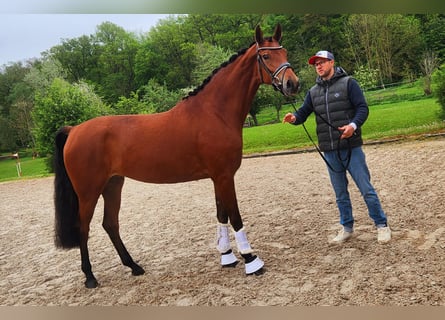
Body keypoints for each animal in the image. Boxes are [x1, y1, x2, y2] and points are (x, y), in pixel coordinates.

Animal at [54, 23, 298, 288]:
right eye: (266, 56)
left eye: (284, 52)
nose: (292, 84)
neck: (214, 111)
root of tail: (74, 130)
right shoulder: (224, 176)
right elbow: (235, 217)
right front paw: (251, 260)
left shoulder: (218, 177)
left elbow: (221, 215)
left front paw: (227, 257)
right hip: (89, 192)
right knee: (84, 227)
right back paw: (90, 277)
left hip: (113, 184)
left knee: (110, 224)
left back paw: (134, 266)